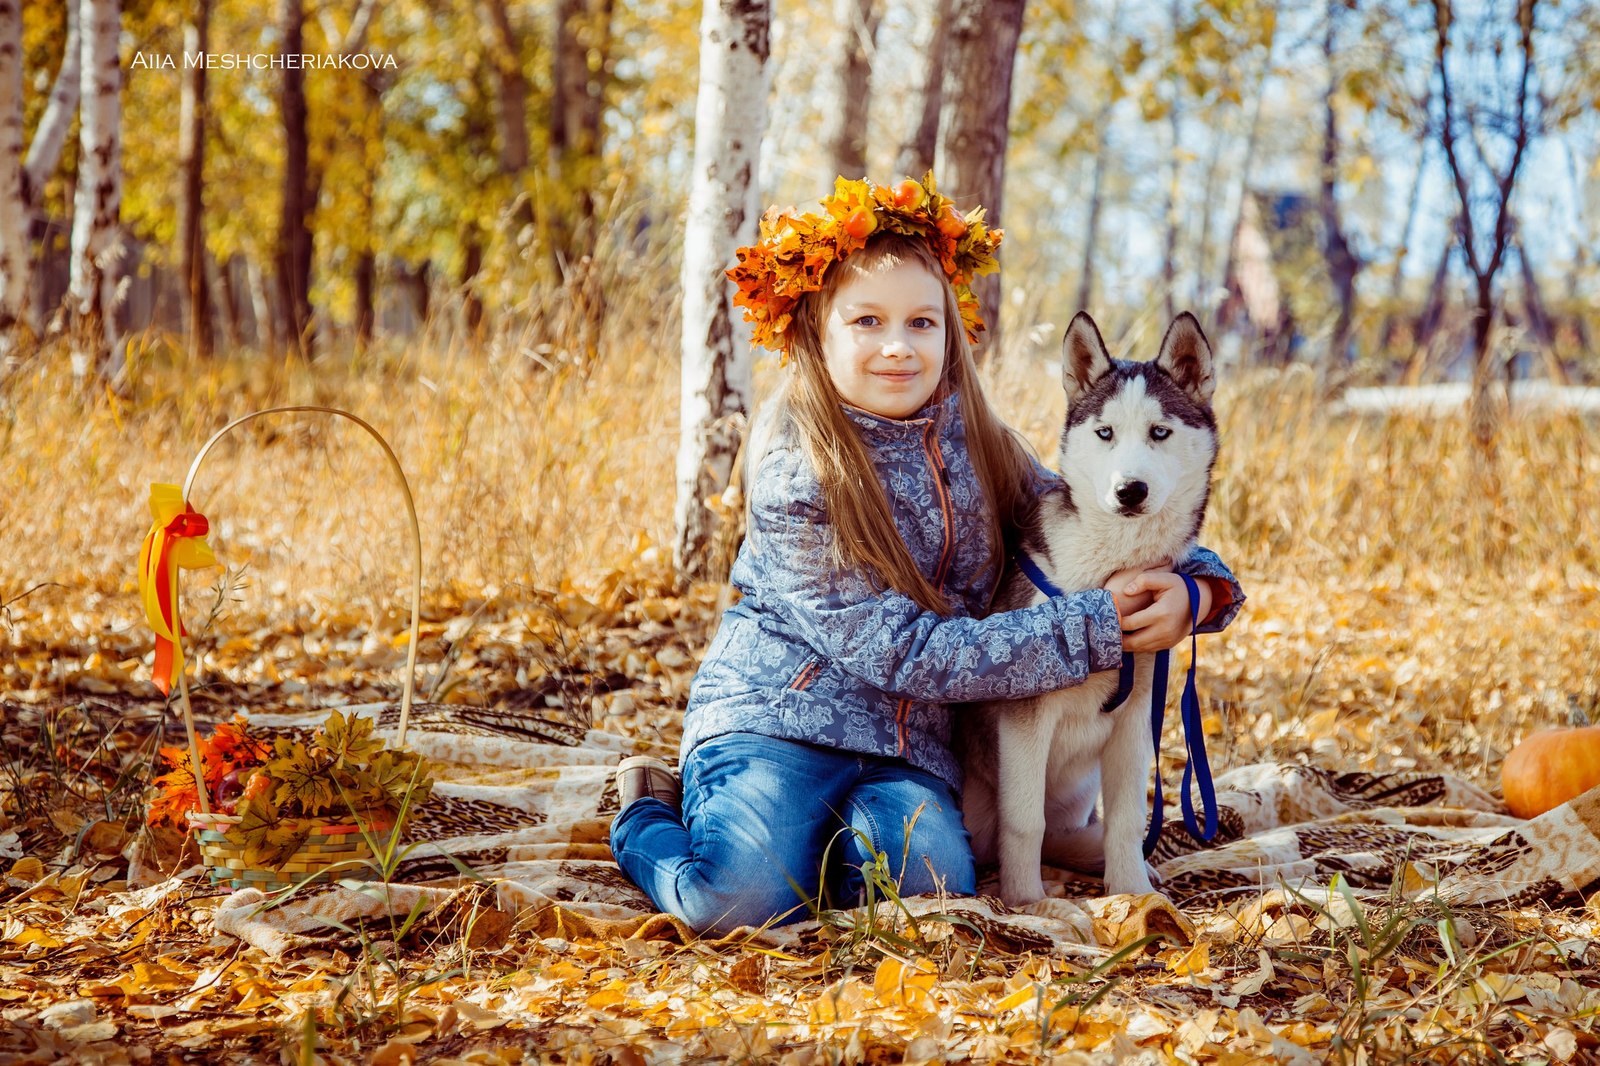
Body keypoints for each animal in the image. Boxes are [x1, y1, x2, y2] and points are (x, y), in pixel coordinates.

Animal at [960, 312, 1209, 902]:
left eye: (1159, 432)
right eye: (1105, 433)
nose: (1129, 490)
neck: (1110, 575)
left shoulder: (1136, 718)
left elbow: (1126, 819)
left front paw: (1133, 894)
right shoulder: (1024, 716)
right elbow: (1023, 822)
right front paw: (1028, 904)